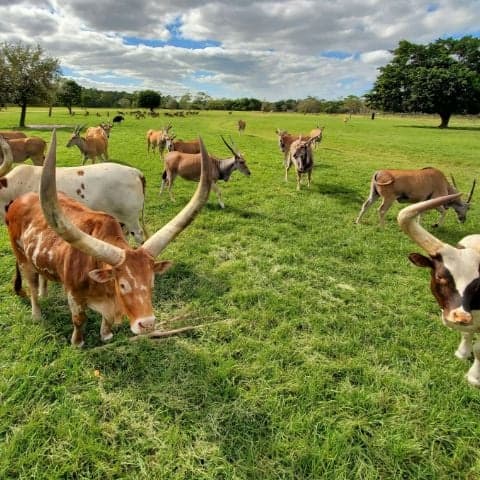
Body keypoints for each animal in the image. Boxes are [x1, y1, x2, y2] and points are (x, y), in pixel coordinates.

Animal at [398, 194, 480, 386]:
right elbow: (467, 334)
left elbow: (479, 348)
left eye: (478, 284)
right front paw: (462, 353)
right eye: (440, 276)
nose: (461, 317)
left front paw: (474, 378)